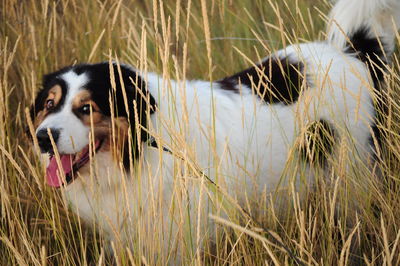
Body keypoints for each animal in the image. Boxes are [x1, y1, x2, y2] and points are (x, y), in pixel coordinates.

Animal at [28, 0, 400, 262]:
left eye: (86, 109)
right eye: (49, 104)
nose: (43, 137)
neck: (146, 147)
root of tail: (352, 53)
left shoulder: (180, 239)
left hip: (352, 179)